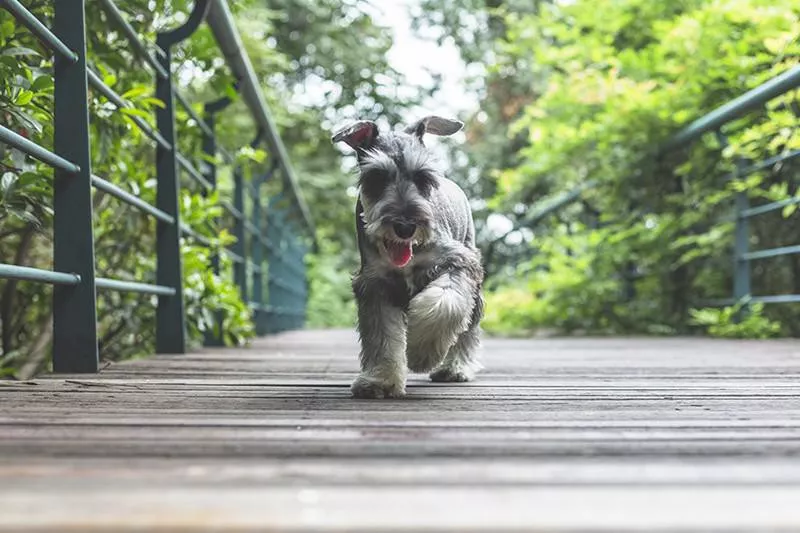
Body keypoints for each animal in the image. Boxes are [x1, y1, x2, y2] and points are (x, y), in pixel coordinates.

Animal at [332, 116, 484, 400]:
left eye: (422, 176)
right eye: (377, 177)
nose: (405, 226)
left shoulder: (457, 264)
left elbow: (444, 303)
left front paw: (422, 353)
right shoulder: (375, 283)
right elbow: (382, 336)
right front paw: (380, 380)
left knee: (468, 326)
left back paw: (456, 368)